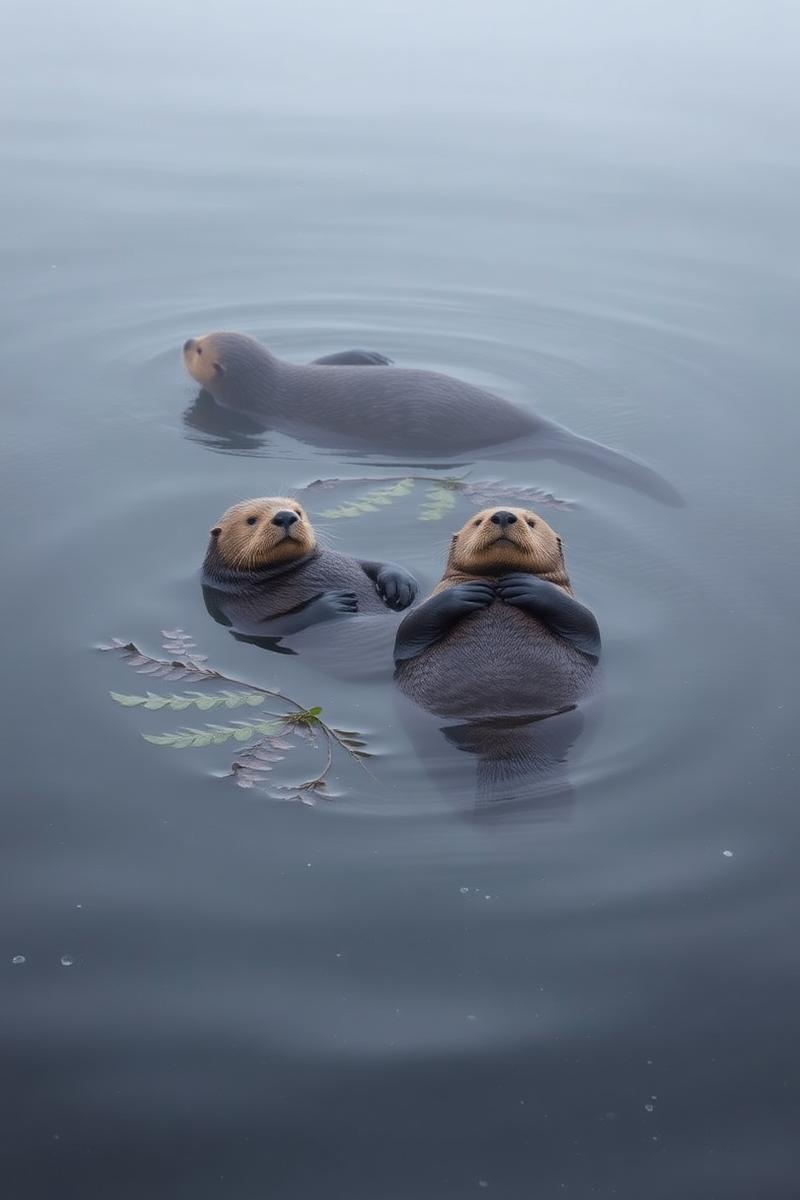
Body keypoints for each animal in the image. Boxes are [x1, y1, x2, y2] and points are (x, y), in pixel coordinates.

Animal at [202, 497, 418, 651]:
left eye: (298, 512)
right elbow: (271, 627)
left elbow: (369, 563)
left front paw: (401, 585)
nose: (285, 516)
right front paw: (333, 602)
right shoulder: (235, 607)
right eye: (251, 520)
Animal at [394, 506, 599, 720]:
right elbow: (408, 631)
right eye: (477, 521)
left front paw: (524, 584)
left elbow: (586, 624)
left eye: (531, 523)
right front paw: (471, 590)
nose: (503, 515)